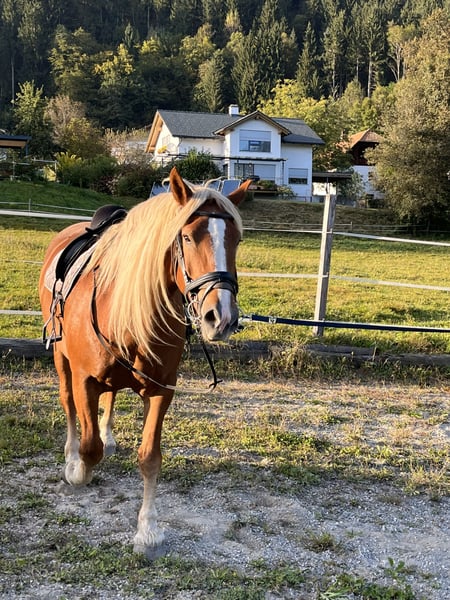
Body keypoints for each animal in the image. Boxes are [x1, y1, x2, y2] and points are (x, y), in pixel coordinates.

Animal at [39, 167, 251, 558]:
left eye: (236, 240)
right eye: (187, 236)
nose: (222, 318)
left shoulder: (160, 390)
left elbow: (150, 457)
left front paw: (147, 530)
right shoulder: (85, 380)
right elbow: (89, 448)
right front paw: (77, 470)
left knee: (109, 399)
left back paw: (108, 437)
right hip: (61, 359)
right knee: (69, 405)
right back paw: (71, 454)